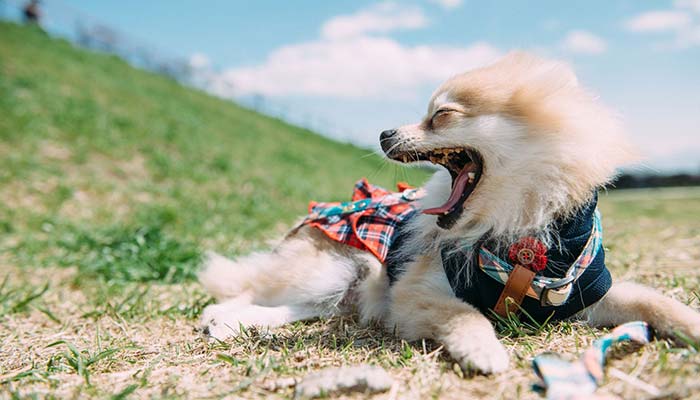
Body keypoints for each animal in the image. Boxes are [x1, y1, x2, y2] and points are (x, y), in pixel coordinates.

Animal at [197, 53, 700, 376]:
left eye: (440, 116)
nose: (383, 133)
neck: (517, 229)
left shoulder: (581, 292)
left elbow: (655, 301)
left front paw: (692, 327)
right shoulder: (414, 295)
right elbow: (466, 315)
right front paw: (485, 351)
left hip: (338, 289)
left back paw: (235, 323)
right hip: (335, 269)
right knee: (247, 289)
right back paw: (219, 318)